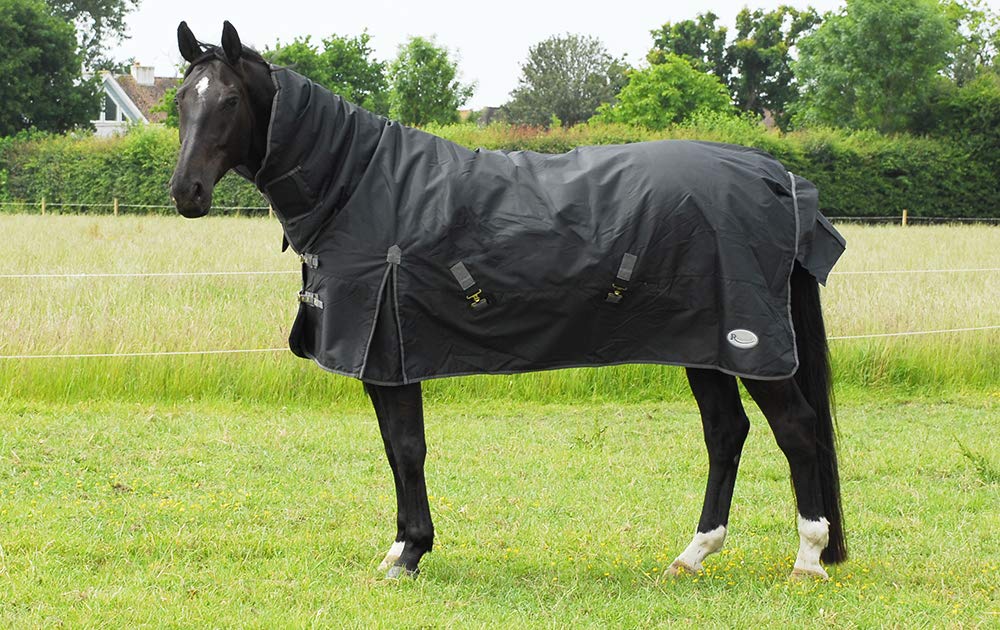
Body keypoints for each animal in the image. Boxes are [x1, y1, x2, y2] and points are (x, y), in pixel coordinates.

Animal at [169, 21, 847, 581]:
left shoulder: (390, 352)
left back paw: (808, 558)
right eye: (181, 102)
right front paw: (399, 547)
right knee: (726, 432)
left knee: (796, 428)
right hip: (703, 344)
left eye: (229, 101)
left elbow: (408, 448)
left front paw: (411, 553)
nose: (186, 192)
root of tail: (778, 177)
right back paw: (693, 554)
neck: (360, 185)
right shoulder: (382, 361)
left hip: (748, 345)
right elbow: (394, 448)